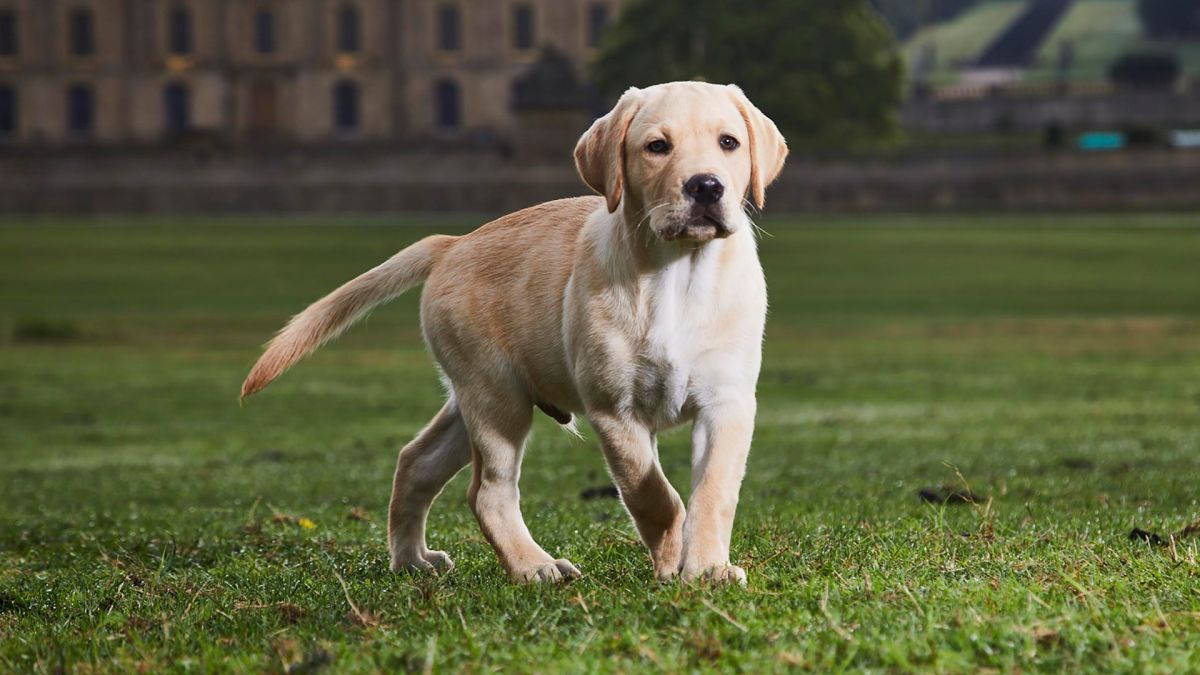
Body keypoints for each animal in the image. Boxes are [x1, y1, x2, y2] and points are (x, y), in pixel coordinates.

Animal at [242, 79, 787, 583]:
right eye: (657, 146)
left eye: (729, 142)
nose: (706, 187)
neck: (677, 276)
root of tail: (453, 243)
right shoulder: (614, 409)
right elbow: (653, 494)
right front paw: (672, 558)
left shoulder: (728, 402)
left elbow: (713, 491)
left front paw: (708, 568)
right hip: (496, 396)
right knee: (487, 492)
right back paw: (534, 566)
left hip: (476, 398)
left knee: (416, 461)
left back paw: (412, 560)